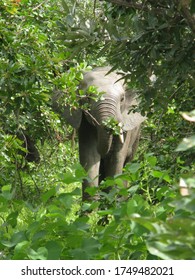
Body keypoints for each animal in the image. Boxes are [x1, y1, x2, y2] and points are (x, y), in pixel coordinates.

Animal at [54, 66, 145, 200]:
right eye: (87, 98)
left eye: (122, 99)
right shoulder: (84, 123)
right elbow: (90, 156)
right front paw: (92, 203)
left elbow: (117, 159)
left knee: (127, 163)